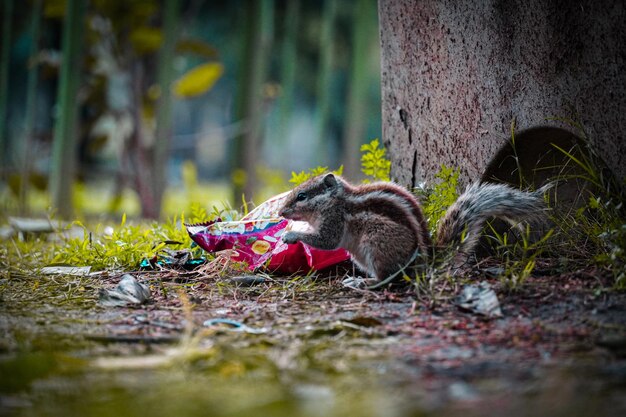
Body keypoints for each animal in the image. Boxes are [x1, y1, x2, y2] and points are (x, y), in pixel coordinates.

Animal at [278, 171, 544, 286]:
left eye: (301, 196)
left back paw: (362, 283)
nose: (280, 212)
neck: (336, 200)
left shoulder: (334, 220)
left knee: (389, 277)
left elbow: (327, 240)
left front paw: (290, 235)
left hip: (375, 241)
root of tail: (427, 262)